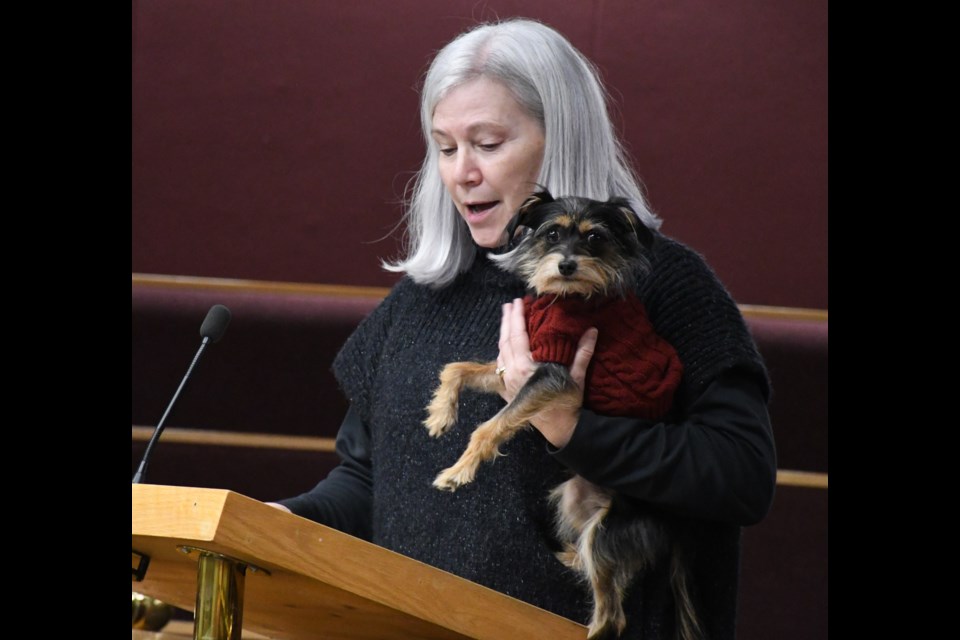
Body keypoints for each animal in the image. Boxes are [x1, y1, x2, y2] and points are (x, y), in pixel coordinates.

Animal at [424, 190, 700, 640]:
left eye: (595, 238)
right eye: (552, 233)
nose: (566, 265)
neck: (569, 297)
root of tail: (675, 524)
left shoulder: (555, 376)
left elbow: (489, 428)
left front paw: (457, 471)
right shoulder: (517, 370)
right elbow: (457, 368)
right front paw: (440, 414)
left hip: (606, 530)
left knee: (611, 615)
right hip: (574, 498)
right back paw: (571, 558)